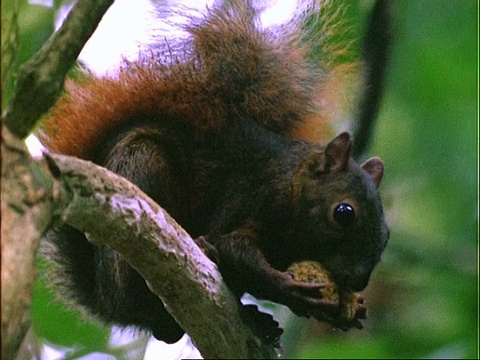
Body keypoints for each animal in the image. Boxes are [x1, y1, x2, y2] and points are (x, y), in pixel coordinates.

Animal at [38, 0, 390, 346]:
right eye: (344, 213)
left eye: (386, 235)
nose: (358, 278)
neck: (293, 185)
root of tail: (108, 303)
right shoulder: (253, 196)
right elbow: (232, 246)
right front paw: (288, 289)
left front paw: (351, 306)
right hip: (143, 165)